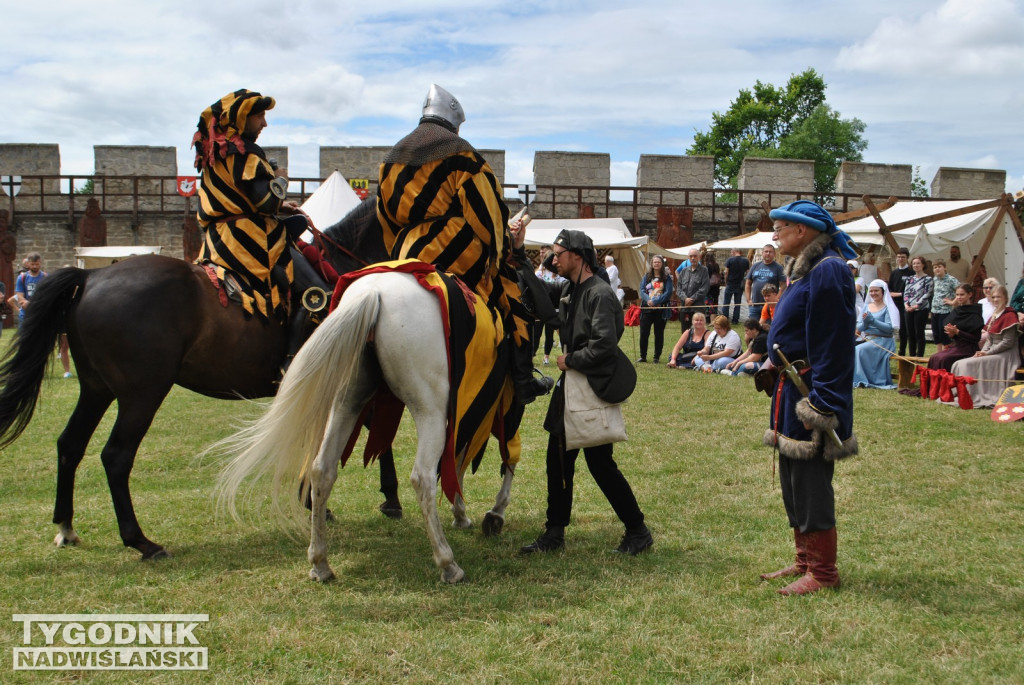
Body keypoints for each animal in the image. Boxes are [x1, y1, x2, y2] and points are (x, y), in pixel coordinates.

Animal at [0, 196, 387, 557]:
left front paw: (316, 503)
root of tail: (90, 277)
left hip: (96, 389)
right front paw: (386, 501)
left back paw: (66, 527)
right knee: (116, 456)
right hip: (142, 394)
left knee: (70, 444)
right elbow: (377, 438)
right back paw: (141, 541)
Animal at [217, 270, 520, 581]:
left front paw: (463, 511)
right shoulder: (496, 403)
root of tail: (372, 293)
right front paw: (492, 512)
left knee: (322, 469)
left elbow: (466, 457)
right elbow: (503, 455)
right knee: (422, 477)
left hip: (345, 403)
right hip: (430, 409)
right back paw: (448, 564)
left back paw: (320, 562)